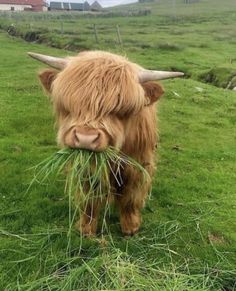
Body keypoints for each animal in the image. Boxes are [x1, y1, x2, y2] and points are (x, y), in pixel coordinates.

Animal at [29, 50, 184, 237]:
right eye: (69, 105)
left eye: (121, 110)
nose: (86, 138)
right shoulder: (86, 169)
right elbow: (89, 199)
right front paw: (86, 229)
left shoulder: (138, 164)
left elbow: (131, 197)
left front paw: (130, 227)